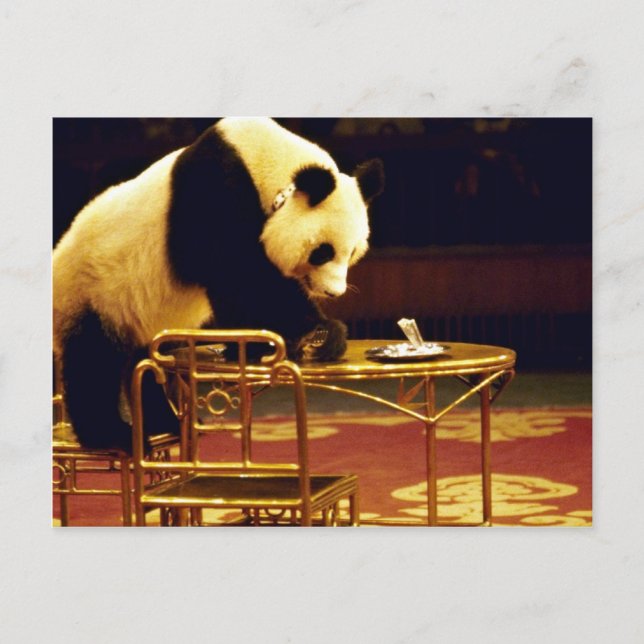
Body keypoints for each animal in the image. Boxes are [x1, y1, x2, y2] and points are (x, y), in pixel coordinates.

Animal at [53, 117, 384, 452]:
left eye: (352, 251)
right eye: (323, 252)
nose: (333, 292)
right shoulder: (212, 193)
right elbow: (240, 274)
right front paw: (319, 332)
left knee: (146, 364)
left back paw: (166, 422)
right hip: (93, 291)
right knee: (93, 362)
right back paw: (110, 434)